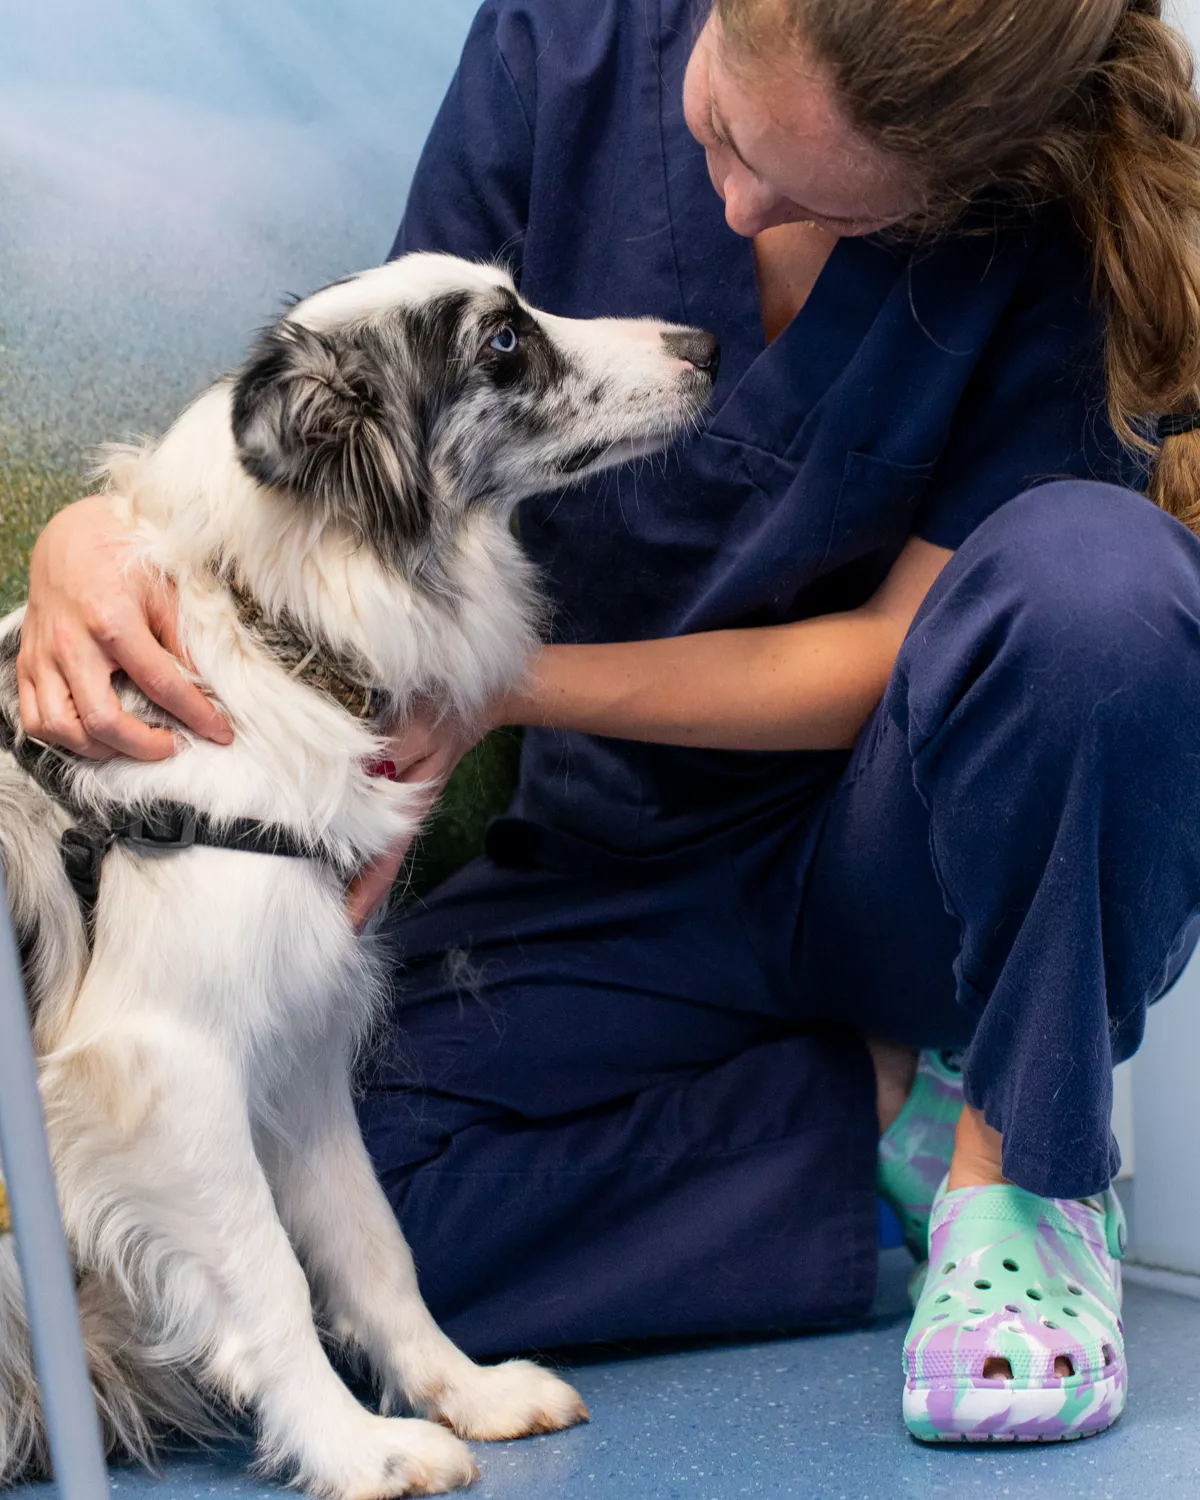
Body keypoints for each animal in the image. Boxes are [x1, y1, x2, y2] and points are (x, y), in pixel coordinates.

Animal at [0, 252, 714, 1494]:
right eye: (502, 344)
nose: (707, 348)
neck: (274, 637)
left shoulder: (298, 1045)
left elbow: (371, 1242)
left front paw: (463, 1393)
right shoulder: (163, 1065)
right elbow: (270, 1278)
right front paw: (354, 1447)